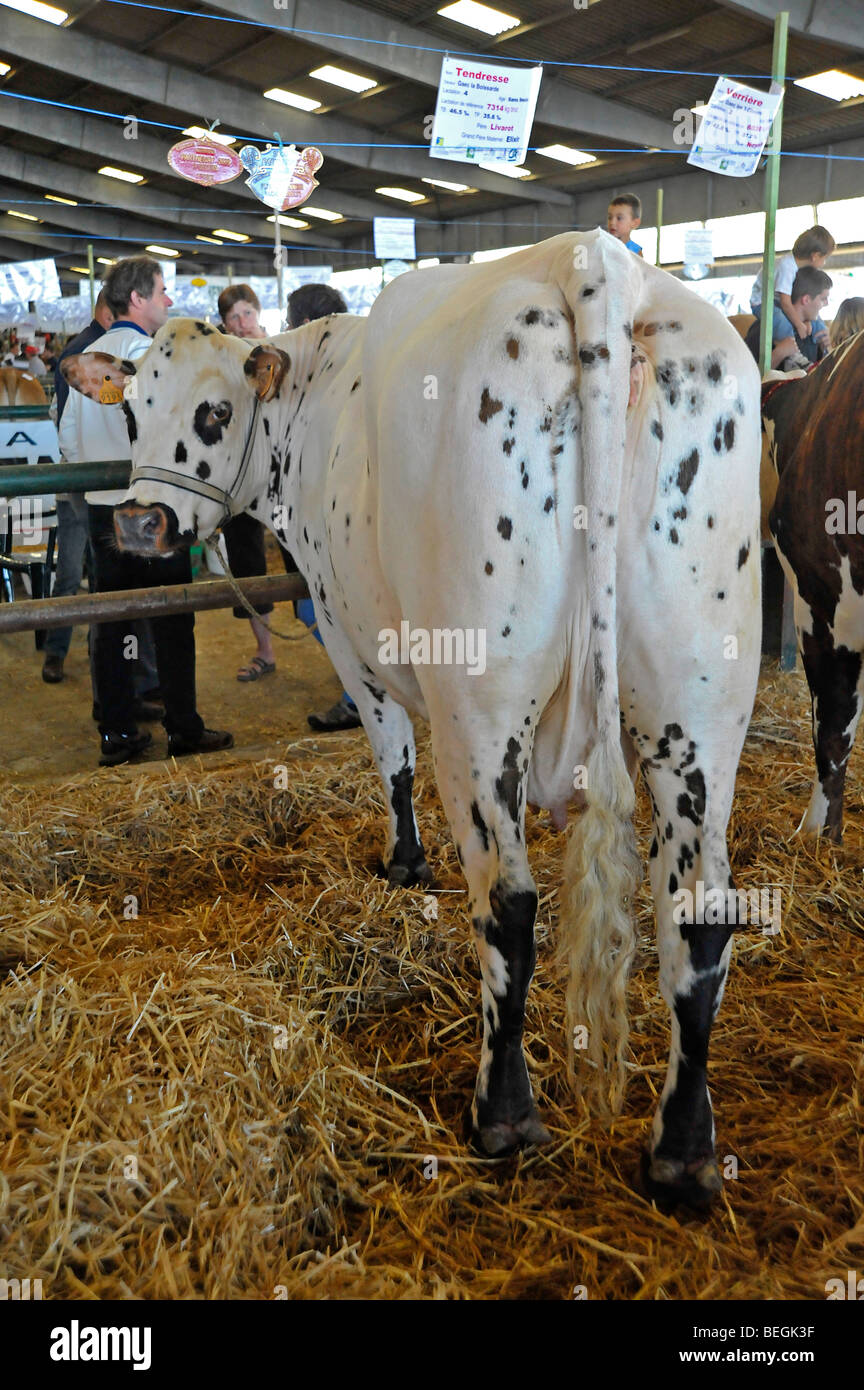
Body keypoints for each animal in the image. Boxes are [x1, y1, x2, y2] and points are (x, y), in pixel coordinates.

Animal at [64, 230, 761, 1206]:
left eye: (212, 414)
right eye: (132, 413)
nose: (138, 525)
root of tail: (591, 260)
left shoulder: (351, 640)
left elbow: (389, 757)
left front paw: (402, 861)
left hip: (482, 708)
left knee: (508, 903)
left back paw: (500, 1113)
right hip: (699, 708)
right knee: (697, 916)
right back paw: (684, 1150)